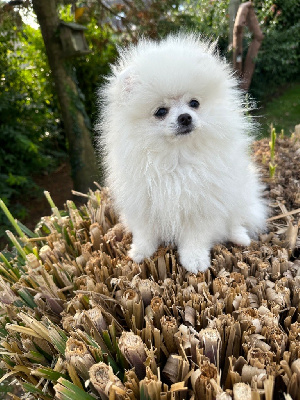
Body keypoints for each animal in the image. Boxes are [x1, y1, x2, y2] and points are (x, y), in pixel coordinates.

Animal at [97, 34, 266, 274]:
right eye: (161, 111)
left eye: (194, 103)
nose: (185, 117)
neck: (177, 157)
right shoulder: (144, 203)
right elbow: (145, 233)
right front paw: (140, 252)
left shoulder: (201, 205)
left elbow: (195, 238)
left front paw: (195, 261)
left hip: (240, 193)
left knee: (236, 219)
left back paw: (240, 237)